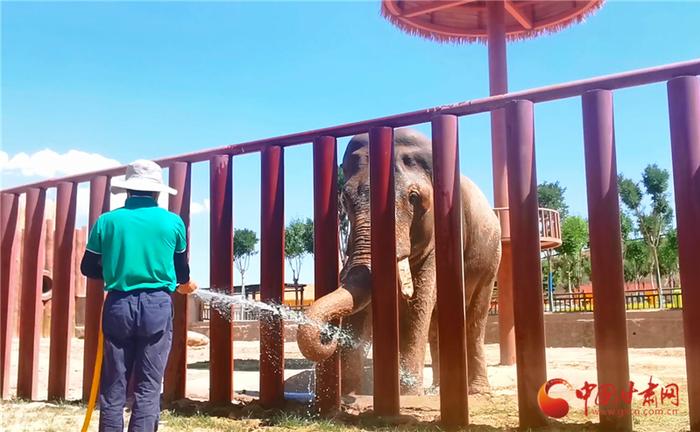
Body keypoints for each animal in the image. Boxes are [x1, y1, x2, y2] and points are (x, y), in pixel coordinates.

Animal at [298, 127, 500, 394]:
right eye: (345, 199)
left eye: (414, 198)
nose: (327, 336)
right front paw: (350, 392)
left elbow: (417, 305)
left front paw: (409, 394)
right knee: (436, 325)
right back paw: (436, 390)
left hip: (491, 261)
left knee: (474, 320)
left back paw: (477, 391)